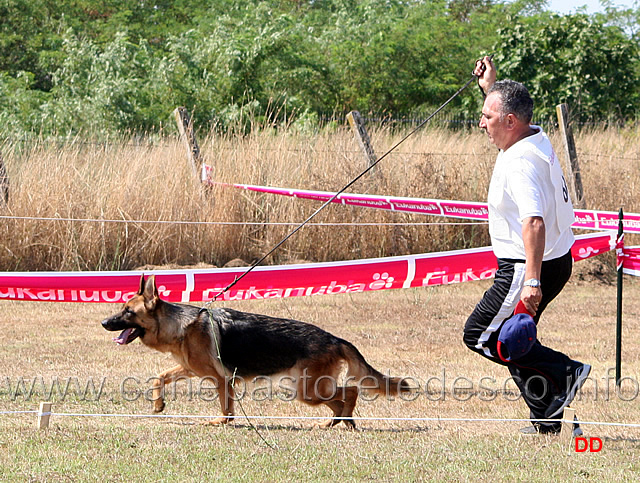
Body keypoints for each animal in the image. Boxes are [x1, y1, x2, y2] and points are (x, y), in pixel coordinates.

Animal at [100, 274, 410, 430]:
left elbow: (226, 408)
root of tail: (334, 337)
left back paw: (344, 421)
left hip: (307, 391)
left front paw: (220, 422)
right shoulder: (190, 368)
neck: (181, 325)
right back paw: (335, 423)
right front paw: (158, 404)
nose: (104, 323)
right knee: (341, 398)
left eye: (128, 312)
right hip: (310, 389)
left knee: (351, 391)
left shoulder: (221, 379)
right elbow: (159, 377)